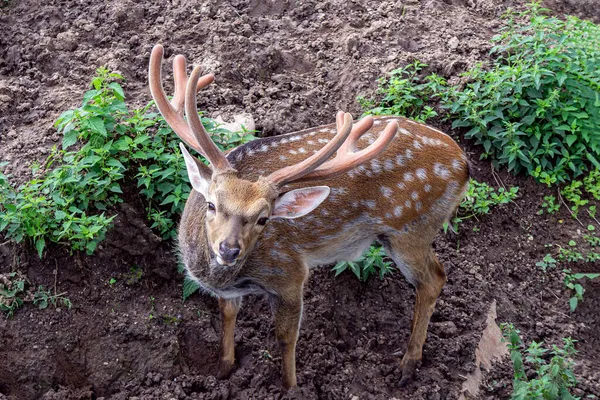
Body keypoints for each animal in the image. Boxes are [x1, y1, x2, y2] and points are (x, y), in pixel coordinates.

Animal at [149, 44, 468, 390]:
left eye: (264, 218)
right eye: (211, 204)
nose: (228, 249)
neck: (226, 277)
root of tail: (464, 164)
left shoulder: (289, 272)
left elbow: (286, 337)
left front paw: (290, 387)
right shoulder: (230, 293)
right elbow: (226, 314)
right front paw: (223, 370)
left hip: (410, 227)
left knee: (434, 279)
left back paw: (407, 364)